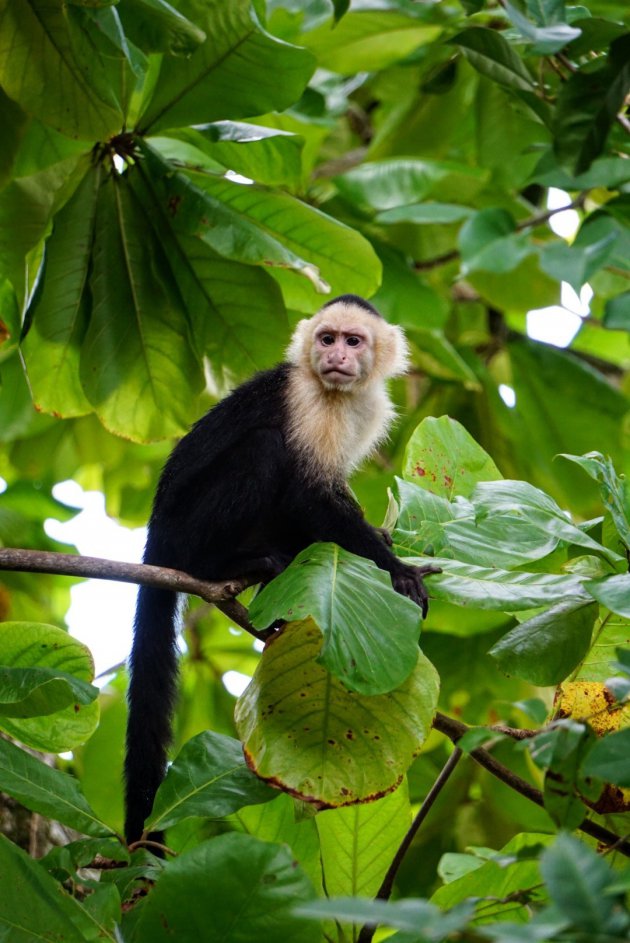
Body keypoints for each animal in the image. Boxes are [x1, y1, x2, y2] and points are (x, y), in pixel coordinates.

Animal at [123, 296, 440, 848]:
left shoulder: (369, 408)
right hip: (183, 530)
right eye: (327, 338)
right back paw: (226, 565)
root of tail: (154, 538)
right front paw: (397, 569)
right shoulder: (307, 402)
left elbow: (326, 493)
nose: (335, 357)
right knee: (265, 448)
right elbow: (308, 492)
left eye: (353, 341)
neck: (337, 393)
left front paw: (381, 544)